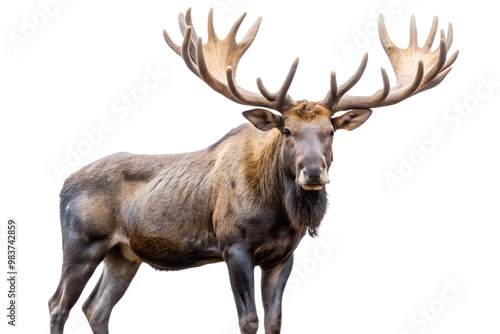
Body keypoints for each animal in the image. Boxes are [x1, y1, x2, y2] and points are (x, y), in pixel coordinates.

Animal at [49, 7, 458, 334]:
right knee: (59, 304)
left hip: (123, 254)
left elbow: (275, 320)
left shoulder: (282, 255)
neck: (279, 213)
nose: (313, 173)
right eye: (287, 130)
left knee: (96, 308)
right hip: (82, 243)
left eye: (330, 132)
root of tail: (63, 183)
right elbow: (248, 320)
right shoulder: (234, 245)